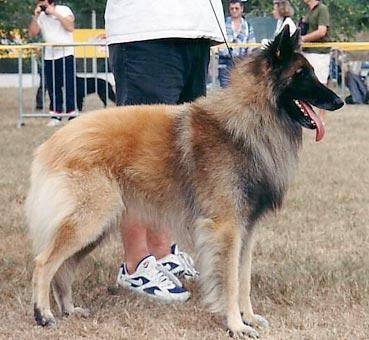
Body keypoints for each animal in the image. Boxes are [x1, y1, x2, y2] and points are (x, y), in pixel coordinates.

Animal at [25, 27, 342, 338]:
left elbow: (244, 278)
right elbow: (230, 281)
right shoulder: (226, 227)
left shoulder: (246, 229)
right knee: (44, 263)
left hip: (96, 228)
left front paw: (249, 317)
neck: (248, 119)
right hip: (89, 222)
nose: (339, 102)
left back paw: (68, 309)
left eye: (312, 72)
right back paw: (43, 314)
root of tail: (53, 143)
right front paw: (235, 325)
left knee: (63, 269)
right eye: (302, 75)